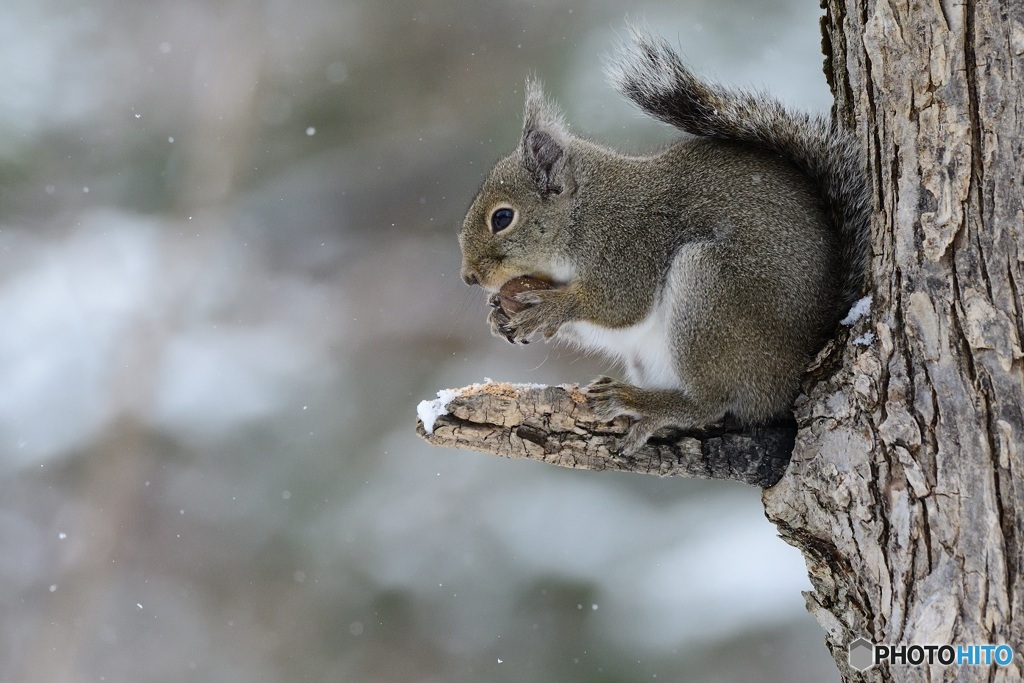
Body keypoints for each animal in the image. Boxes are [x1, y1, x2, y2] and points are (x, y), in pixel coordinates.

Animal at [460, 33, 868, 458]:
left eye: (502, 218)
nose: (469, 276)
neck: (581, 215)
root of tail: (791, 372)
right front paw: (498, 314)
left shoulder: (630, 242)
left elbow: (620, 303)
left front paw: (550, 307)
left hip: (710, 293)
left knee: (711, 402)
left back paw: (642, 403)